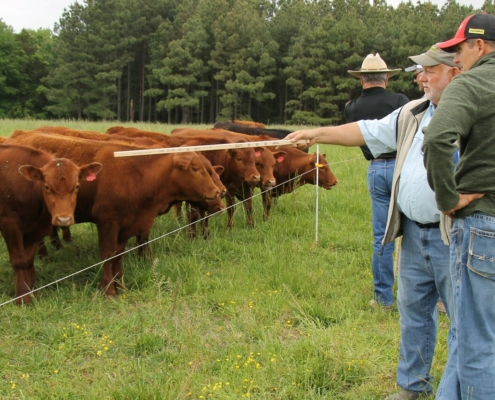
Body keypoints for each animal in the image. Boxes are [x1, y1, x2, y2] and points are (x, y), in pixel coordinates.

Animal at [0, 144, 101, 304]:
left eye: (77, 186)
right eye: (47, 187)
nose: (64, 220)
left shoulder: (33, 230)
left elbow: (28, 261)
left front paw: (31, 291)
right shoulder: (10, 225)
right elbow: (19, 261)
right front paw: (22, 297)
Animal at [6, 131, 221, 296]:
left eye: (210, 170)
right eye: (195, 169)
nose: (217, 192)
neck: (137, 175)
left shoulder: (127, 225)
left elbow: (118, 255)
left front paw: (121, 287)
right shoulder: (107, 222)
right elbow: (108, 255)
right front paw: (108, 290)